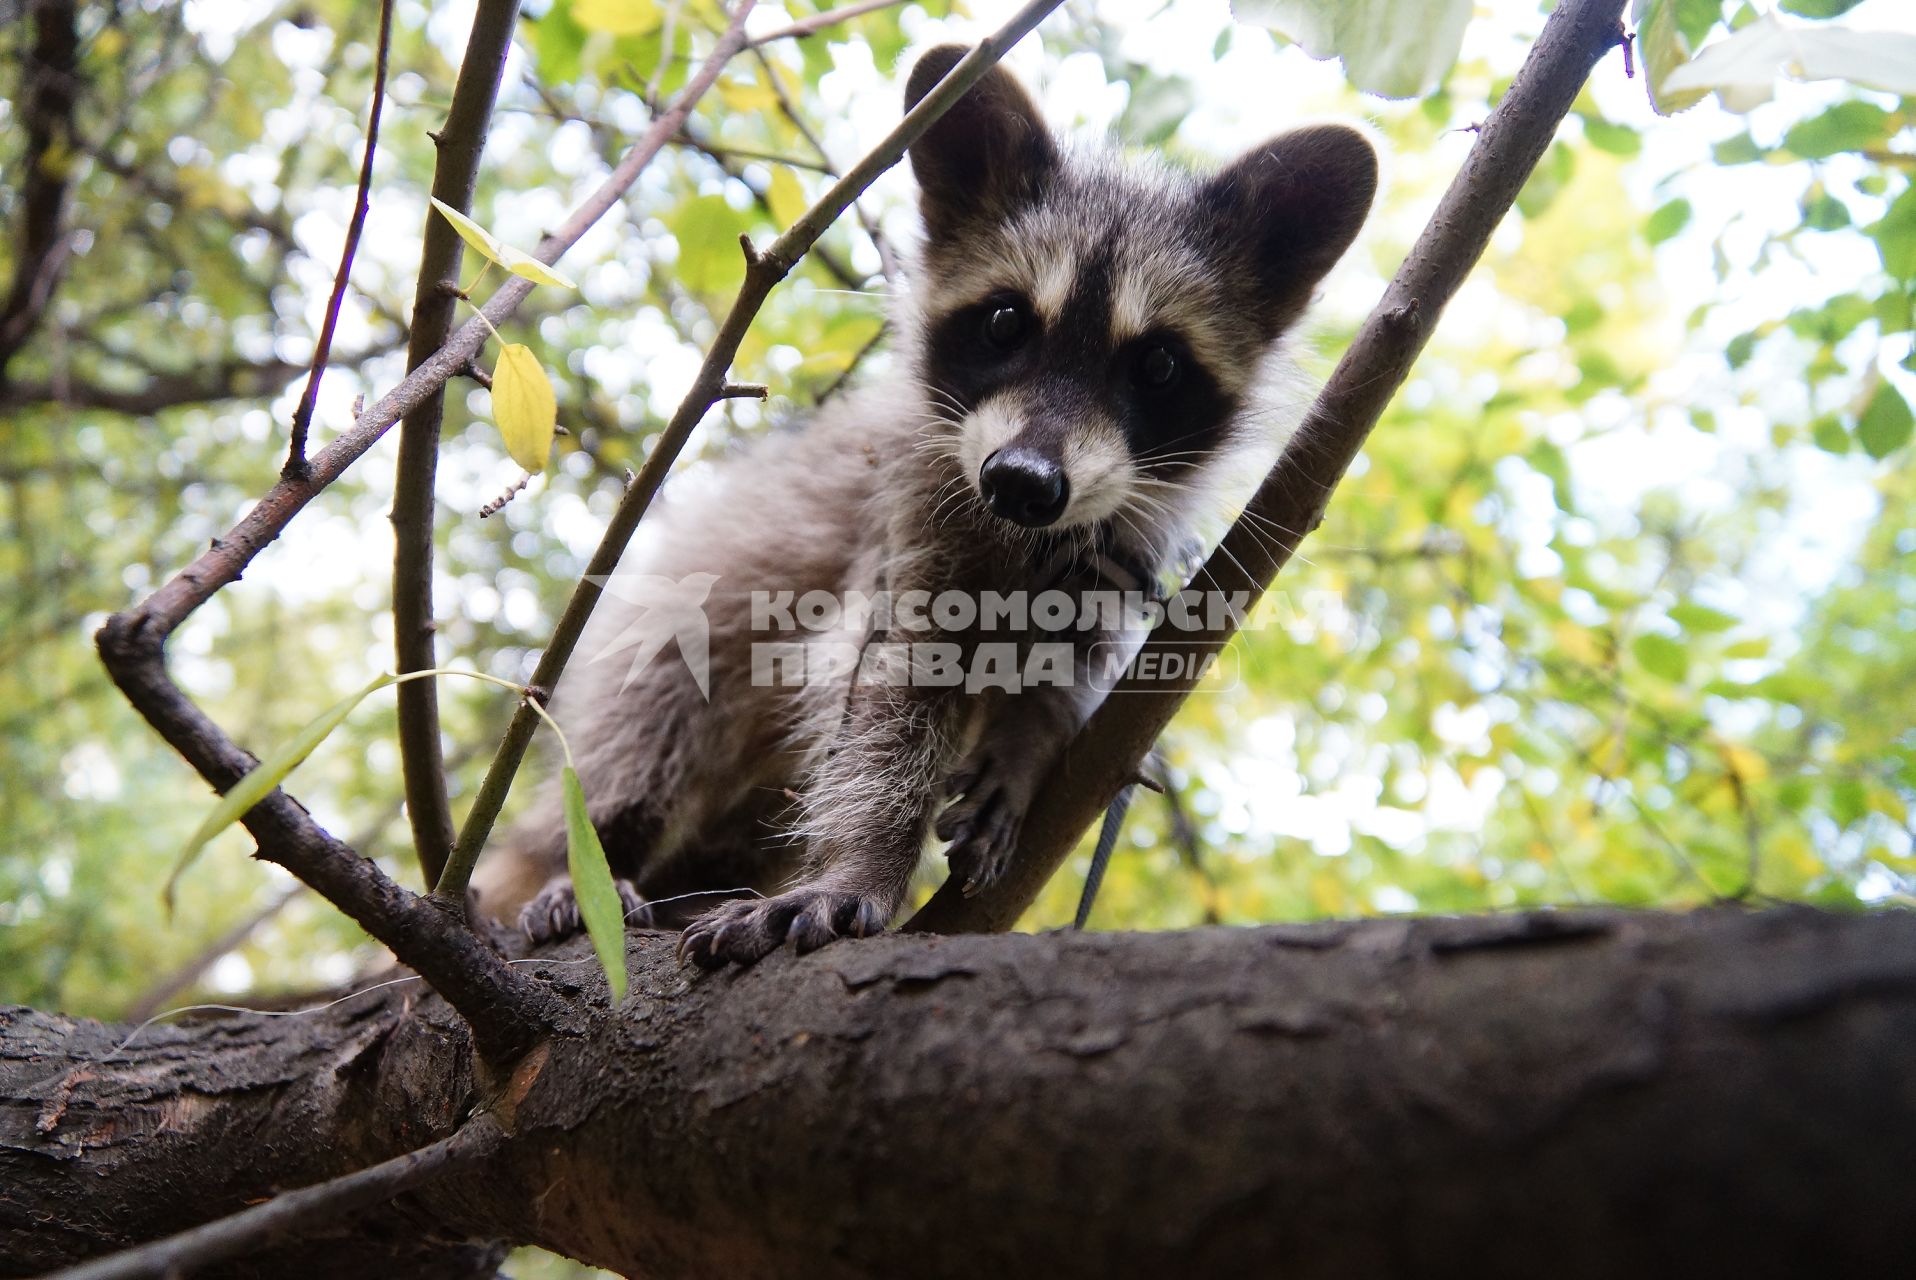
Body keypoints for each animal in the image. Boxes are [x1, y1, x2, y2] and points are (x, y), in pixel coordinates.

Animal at [479, 42, 1379, 969]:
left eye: (1158, 365)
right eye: (1006, 322)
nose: (1022, 480)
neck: (1035, 532)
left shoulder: (1121, 550)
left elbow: (1070, 662)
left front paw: (1028, 738)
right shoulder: (908, 519)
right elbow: (883, 696)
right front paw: (864, 861)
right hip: (664, 649)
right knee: (645, 732)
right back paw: (585, 859)